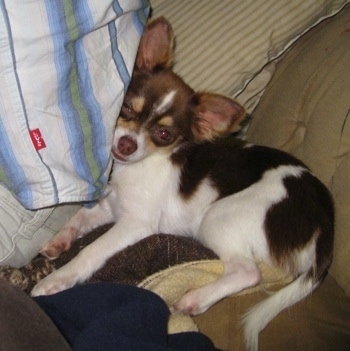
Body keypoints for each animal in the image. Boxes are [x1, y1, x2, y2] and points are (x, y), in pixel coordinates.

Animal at [32, 17, 334, 351]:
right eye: (126, 108)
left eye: (164, 135)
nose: (126, 145)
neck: (142, 163)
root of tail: (324, 222)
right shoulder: (113, 205)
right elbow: (79, 216)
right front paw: (60, 241)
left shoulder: (136, 224)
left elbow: (91, 251)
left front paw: (55, 280)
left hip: (218, 217)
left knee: (248, 273)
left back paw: (194, 300)